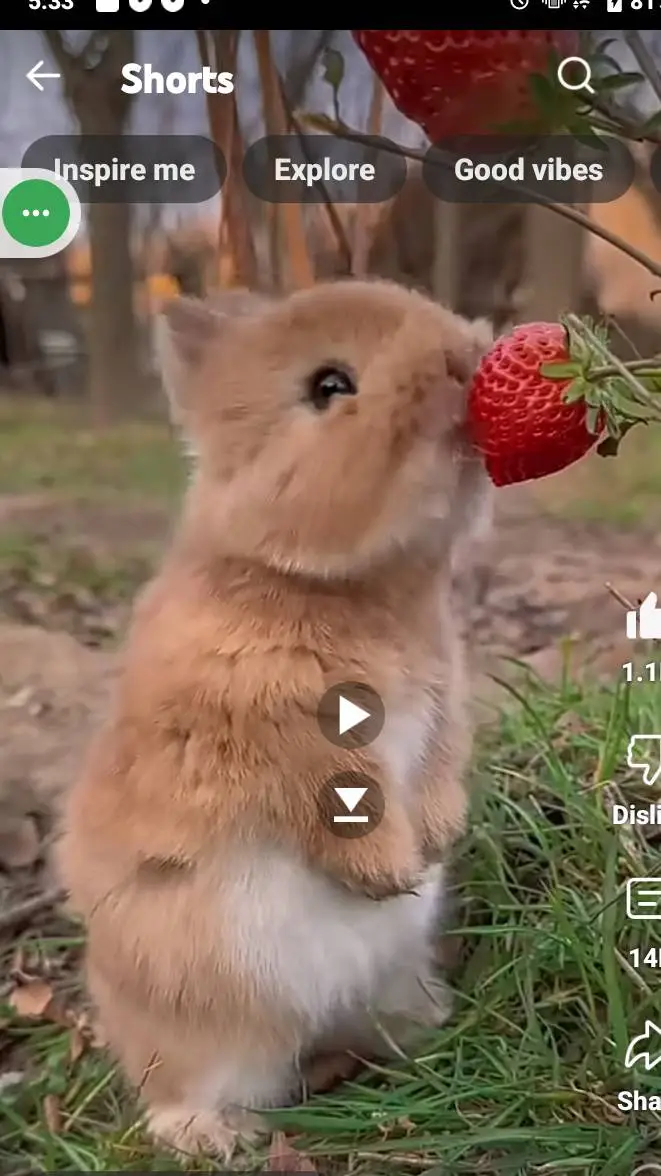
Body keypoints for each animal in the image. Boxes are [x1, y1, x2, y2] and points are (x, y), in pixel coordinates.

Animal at [56, 278, 493, 1161]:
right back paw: (212, 1137)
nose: (464, 356)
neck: (334, 583)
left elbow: (435, 770)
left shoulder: (439, 705)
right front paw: (389, 873)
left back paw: (427, 1024)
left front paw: (432, 842)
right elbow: (334, 802)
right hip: (205, 1020)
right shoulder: (278, 735)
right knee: (187, 1084)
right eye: (329, 385)